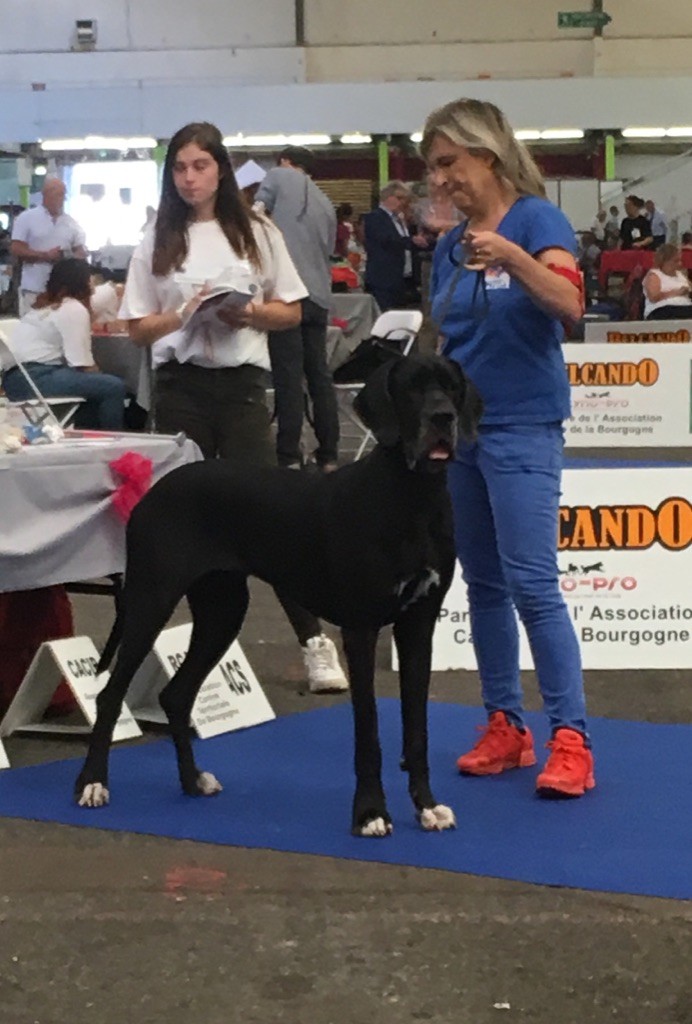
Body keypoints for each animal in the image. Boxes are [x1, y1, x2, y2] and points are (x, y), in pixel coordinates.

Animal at [74, 356, 481, 835]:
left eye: (451, 388)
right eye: (412, 388)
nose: (443, 419)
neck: (411, 495)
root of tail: (154, 490)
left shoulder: (419, 624)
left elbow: (417, 729)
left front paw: (427, 806)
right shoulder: (360, 628)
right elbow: (368, 732)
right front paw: (370, 813)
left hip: (223, 609)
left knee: (176, 694)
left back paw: (193, 781)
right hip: (150, 599)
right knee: (109, 694)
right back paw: (92, 784)